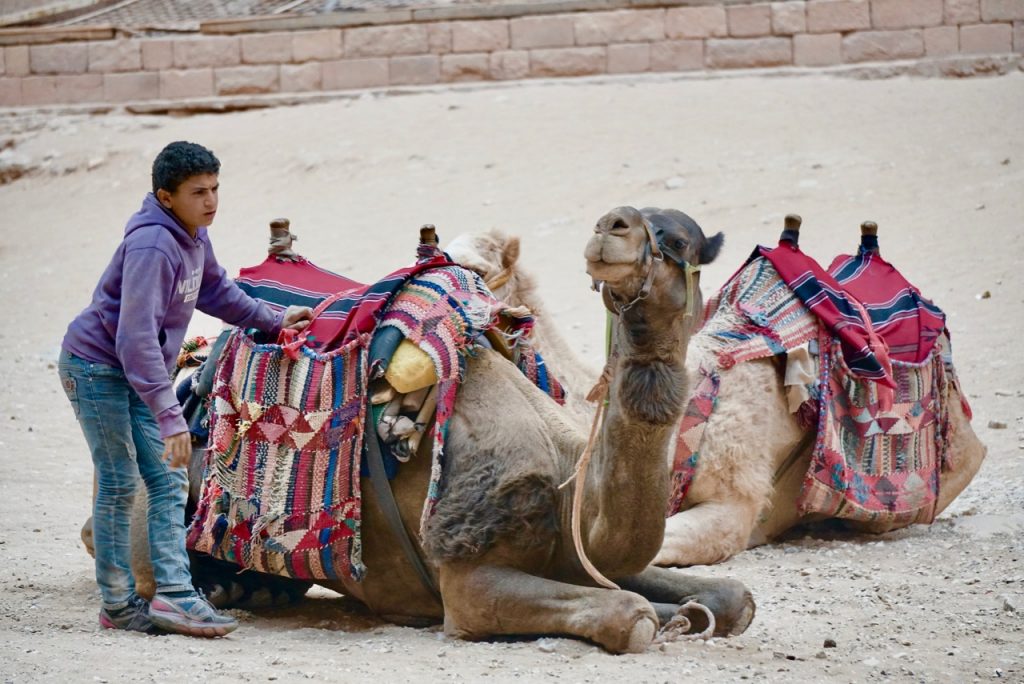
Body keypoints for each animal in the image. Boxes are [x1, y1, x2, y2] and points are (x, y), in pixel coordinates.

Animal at [80, 207, 755, 652]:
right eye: (636, 225)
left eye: (680, 239)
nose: (612, 226)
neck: (569, 494)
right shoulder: (468, 587)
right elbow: (629, 615)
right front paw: (660, 616)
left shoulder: (577, 554)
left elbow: (733, 597)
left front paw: (688, 609)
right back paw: (219, 591)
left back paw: (260, 590)